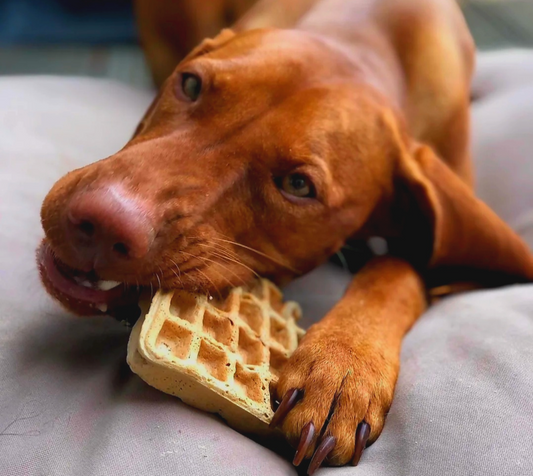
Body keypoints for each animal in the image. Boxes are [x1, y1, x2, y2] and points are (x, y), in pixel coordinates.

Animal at [38, 1, 532, 474]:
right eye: (191, 85)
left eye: (298, 185)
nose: (102, 221)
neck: (371, 33)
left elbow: (397, 268)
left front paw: (343, 364)